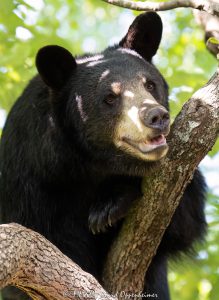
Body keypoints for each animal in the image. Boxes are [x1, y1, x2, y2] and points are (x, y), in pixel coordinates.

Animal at [0, 12, 206, 300]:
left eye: (149, 84)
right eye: (110, 97)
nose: (156, 117)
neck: (91, 162)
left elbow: (183, 222)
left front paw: (109, 205)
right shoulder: (29, 178)